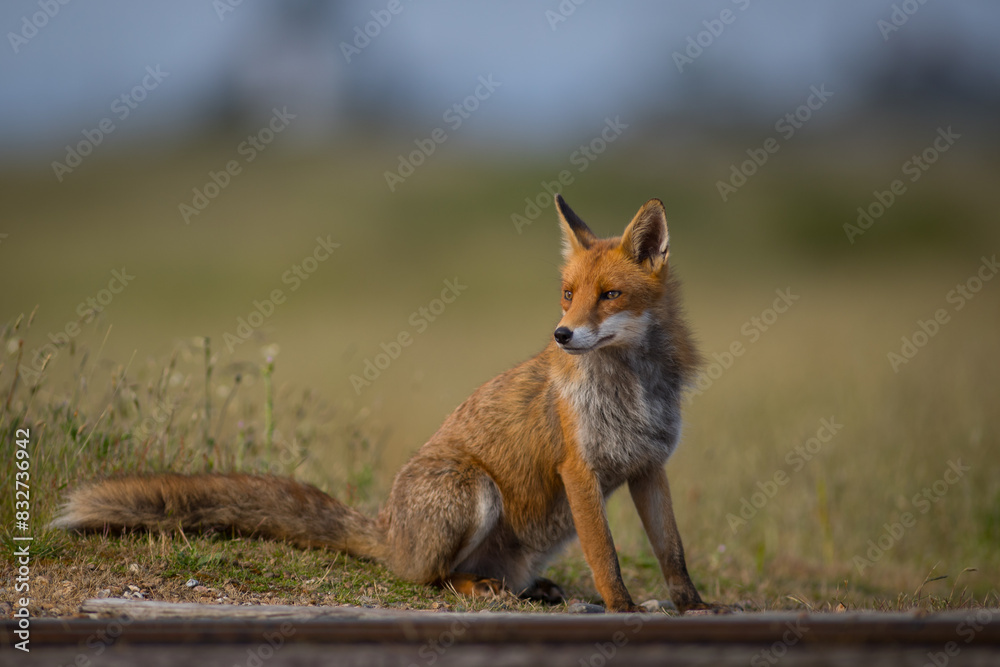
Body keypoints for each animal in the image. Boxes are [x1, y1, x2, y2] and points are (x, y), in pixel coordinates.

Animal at [52, 195, 711, 613]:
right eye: (568, 294)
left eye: (610, 295)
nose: (562, 335)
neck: (633, 390)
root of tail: (389, 532)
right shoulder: (578, 469)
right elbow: (607, 557)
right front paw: (623, 609)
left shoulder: (649, 467)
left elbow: (673, 552)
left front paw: (695, 607)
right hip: (473, 492)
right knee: (431, 580)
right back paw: (477, 589)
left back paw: (531, 590)